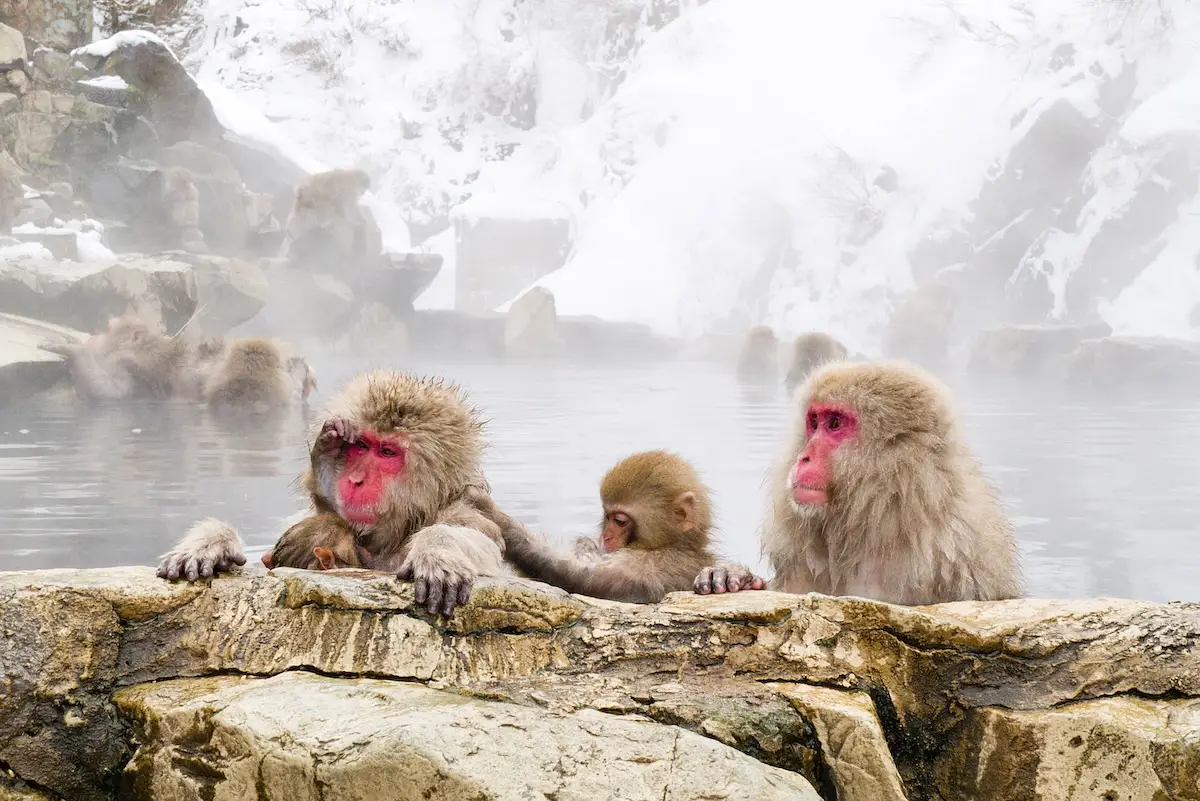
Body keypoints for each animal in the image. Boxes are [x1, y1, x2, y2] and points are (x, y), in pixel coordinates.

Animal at [158, 369, 515, 618]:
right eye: (361, 446)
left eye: (387, 452)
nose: (355, 480)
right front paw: (209, 544)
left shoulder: (463, 512)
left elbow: (480, 540)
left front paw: (438, 550)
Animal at [500, 450, 719, 604]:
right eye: (607, 516)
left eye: (620, 521)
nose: (605, 537)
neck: (675, 545)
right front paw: (586, 544)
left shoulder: (651, 564)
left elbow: (582, 580)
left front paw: (503, 523)